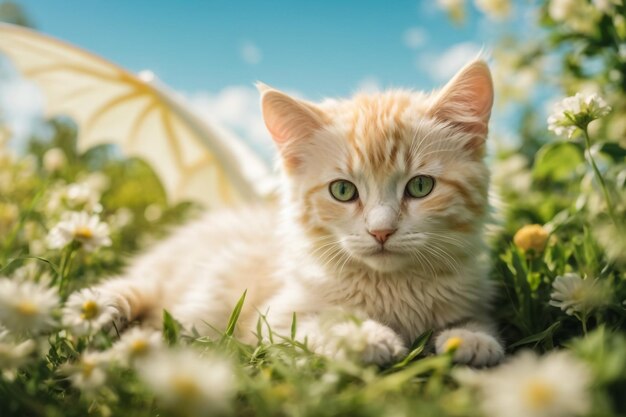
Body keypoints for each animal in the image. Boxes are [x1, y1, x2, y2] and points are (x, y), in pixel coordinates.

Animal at [86, 60, 502, 366]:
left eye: (420, 187)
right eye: (343, 191)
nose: (381, 232)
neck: (394, 289)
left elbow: (473, 319)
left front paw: (472, 337)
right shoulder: (271, 320)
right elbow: (321, 322)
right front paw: (365, 337)